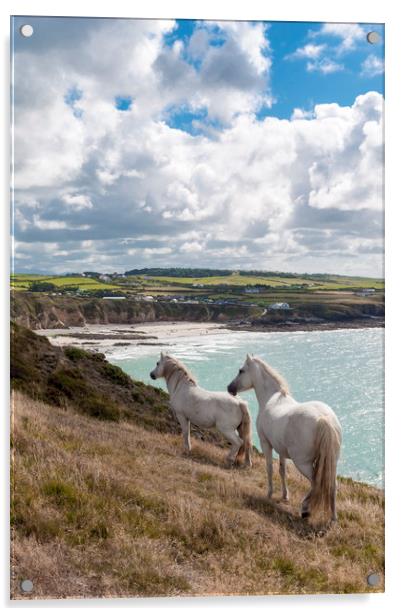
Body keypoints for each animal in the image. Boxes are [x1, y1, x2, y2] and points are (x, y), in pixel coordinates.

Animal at [228, 354, 340, 524]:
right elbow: (282, 471)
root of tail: (324, 419)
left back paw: (305, 509)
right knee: (331, 485)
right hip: (330, 462)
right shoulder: (281, 450)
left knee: (316, 484)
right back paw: (333, 518)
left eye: (241, 370)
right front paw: (285, 496)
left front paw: (269, 494)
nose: (230, 388)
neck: (272, 398)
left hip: (303, 463)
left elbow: (269, 468)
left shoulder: (266, 444)